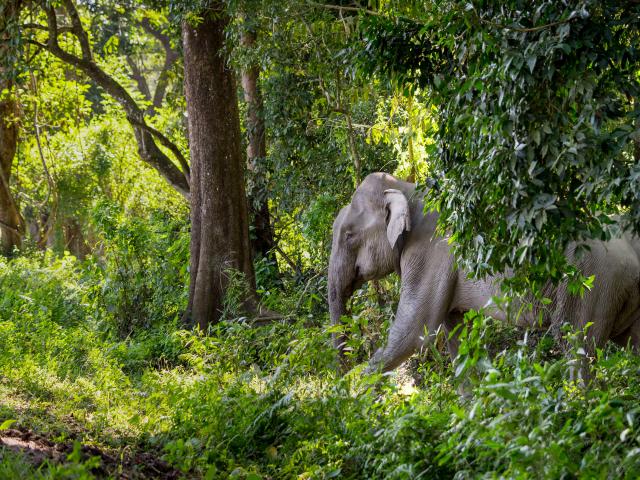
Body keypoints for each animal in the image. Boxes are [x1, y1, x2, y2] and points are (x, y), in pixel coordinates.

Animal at [328, 172, 640, 375]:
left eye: (349, 236)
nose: (342, 371)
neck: (406, 188)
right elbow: (457, 339)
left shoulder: (430, 254)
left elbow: (413, 334)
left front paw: (351, 394)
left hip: (590, 286)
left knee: (576, 348)